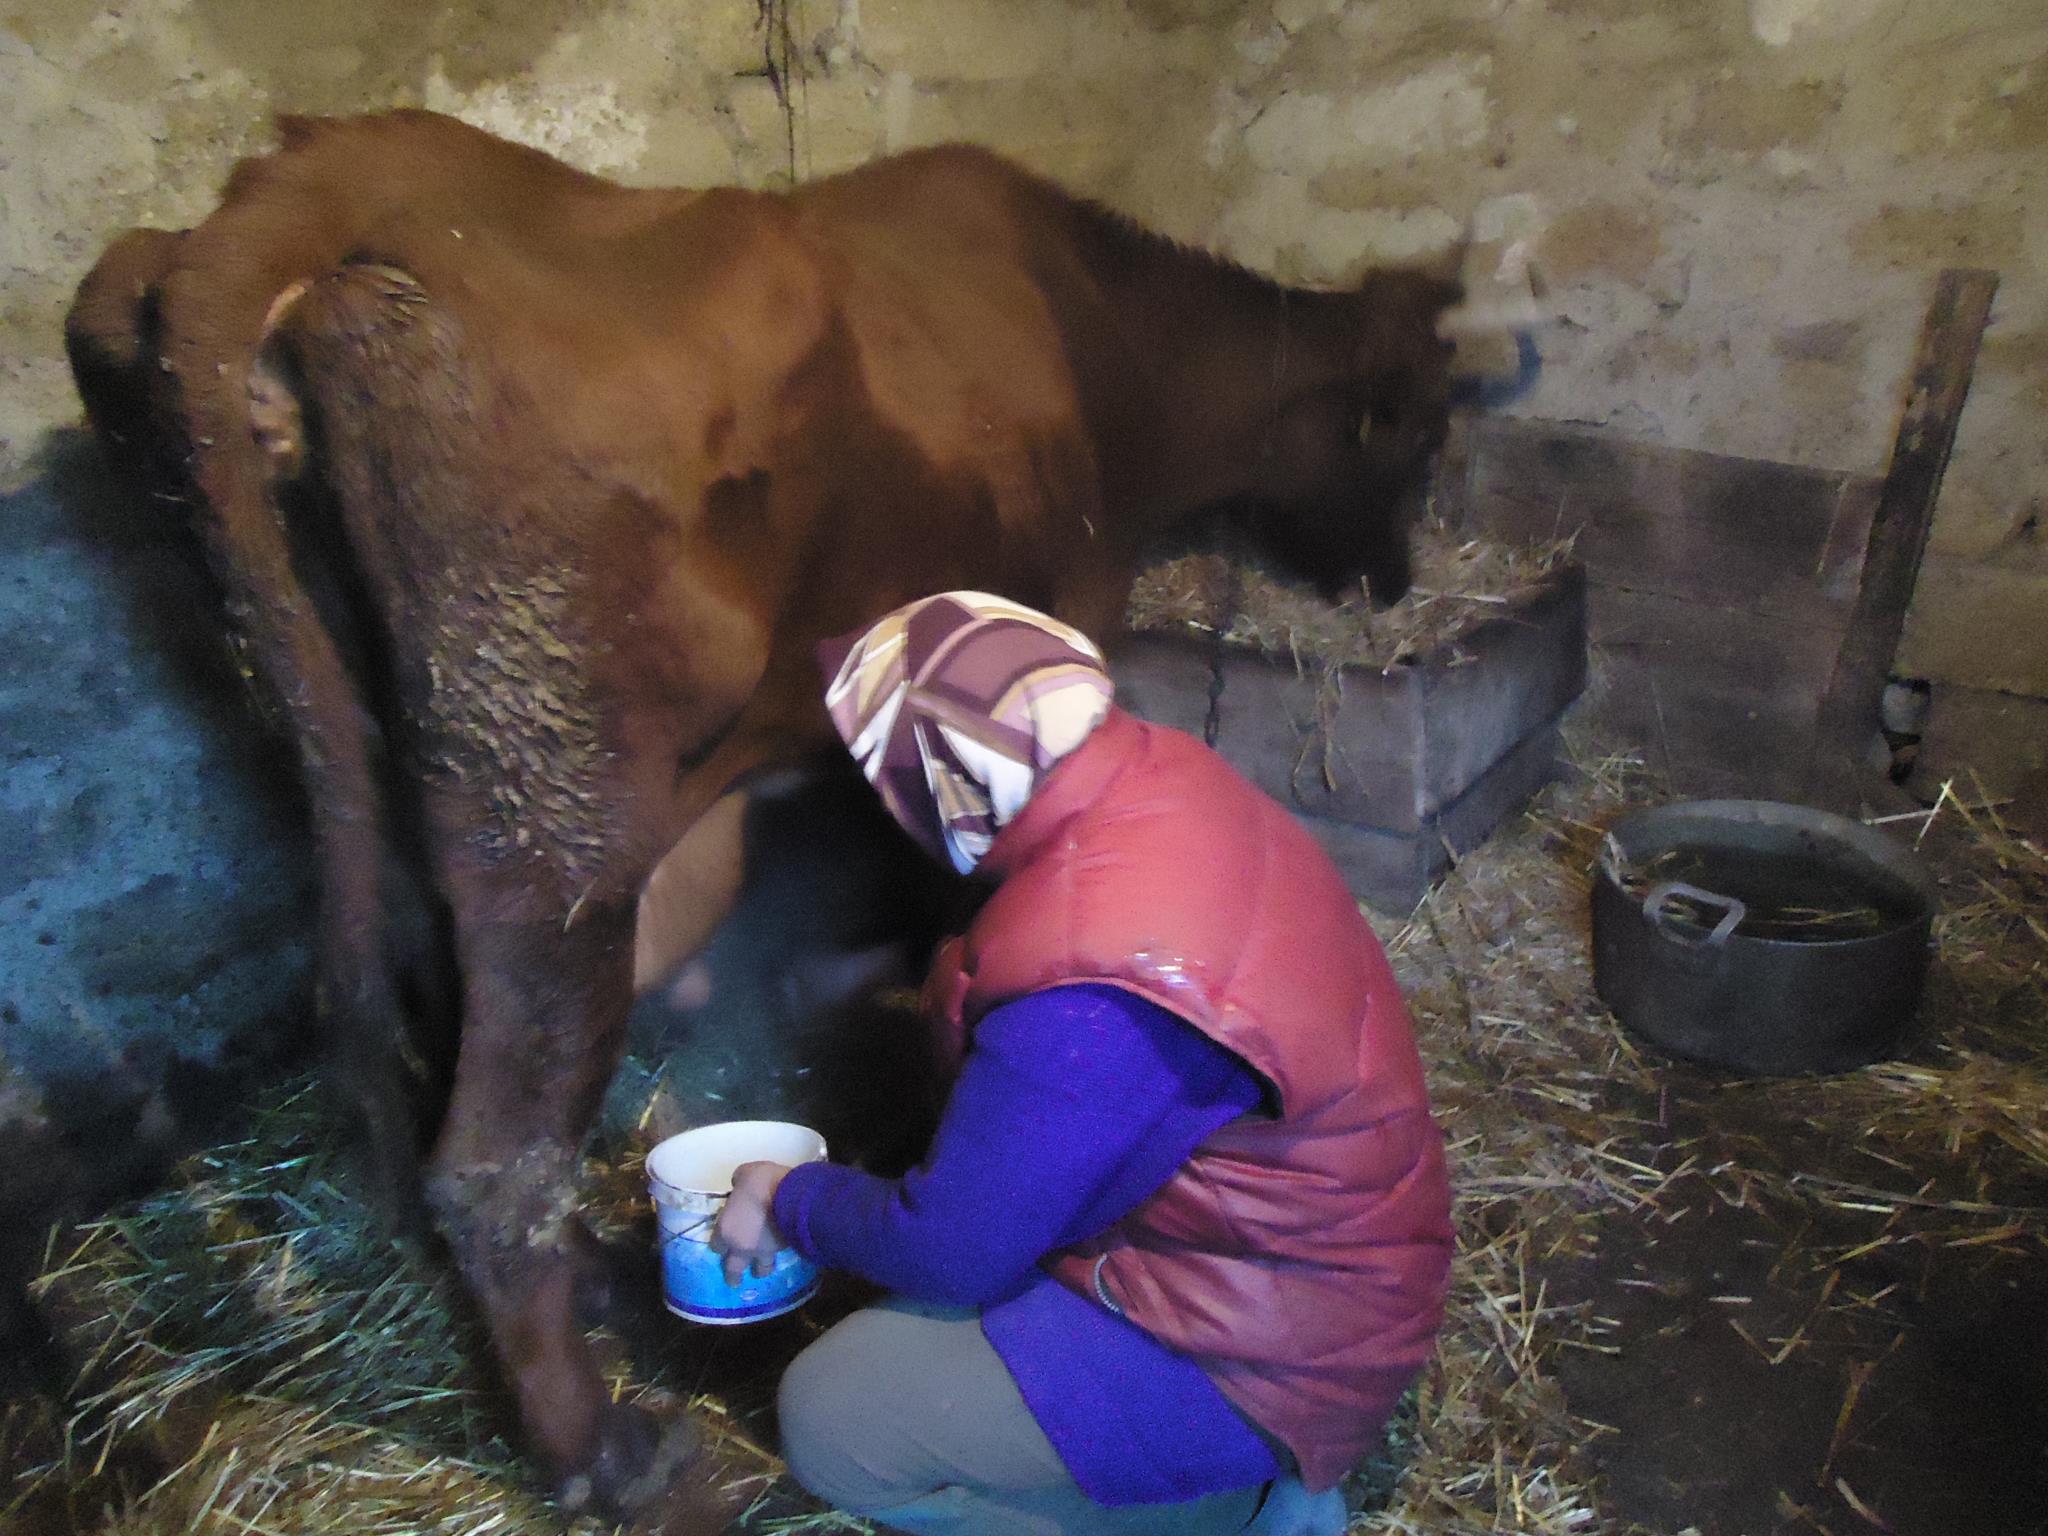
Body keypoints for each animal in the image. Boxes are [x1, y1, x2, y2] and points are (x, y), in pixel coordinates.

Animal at [68, 111, 1474, 1531]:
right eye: (1413, 441)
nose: (1389, 579)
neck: (1100, 335)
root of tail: (323, 173)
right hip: (552, 828)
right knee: (491, 1167)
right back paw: (611, 1456)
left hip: (389, 798)